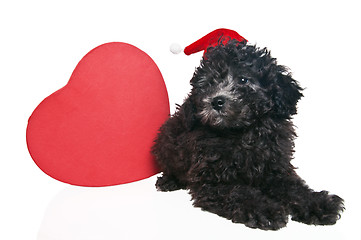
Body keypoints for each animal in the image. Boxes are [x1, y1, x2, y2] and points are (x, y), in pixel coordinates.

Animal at [151, 39, 344, 231]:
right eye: (208, 84)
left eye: (243, 79)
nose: (216, 101)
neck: (243, 132)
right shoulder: (212, 181)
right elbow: (239, 193)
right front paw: (265, 209)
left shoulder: (276, 168)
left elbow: (293, 188)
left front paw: (317, 203)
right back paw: (169, 181)